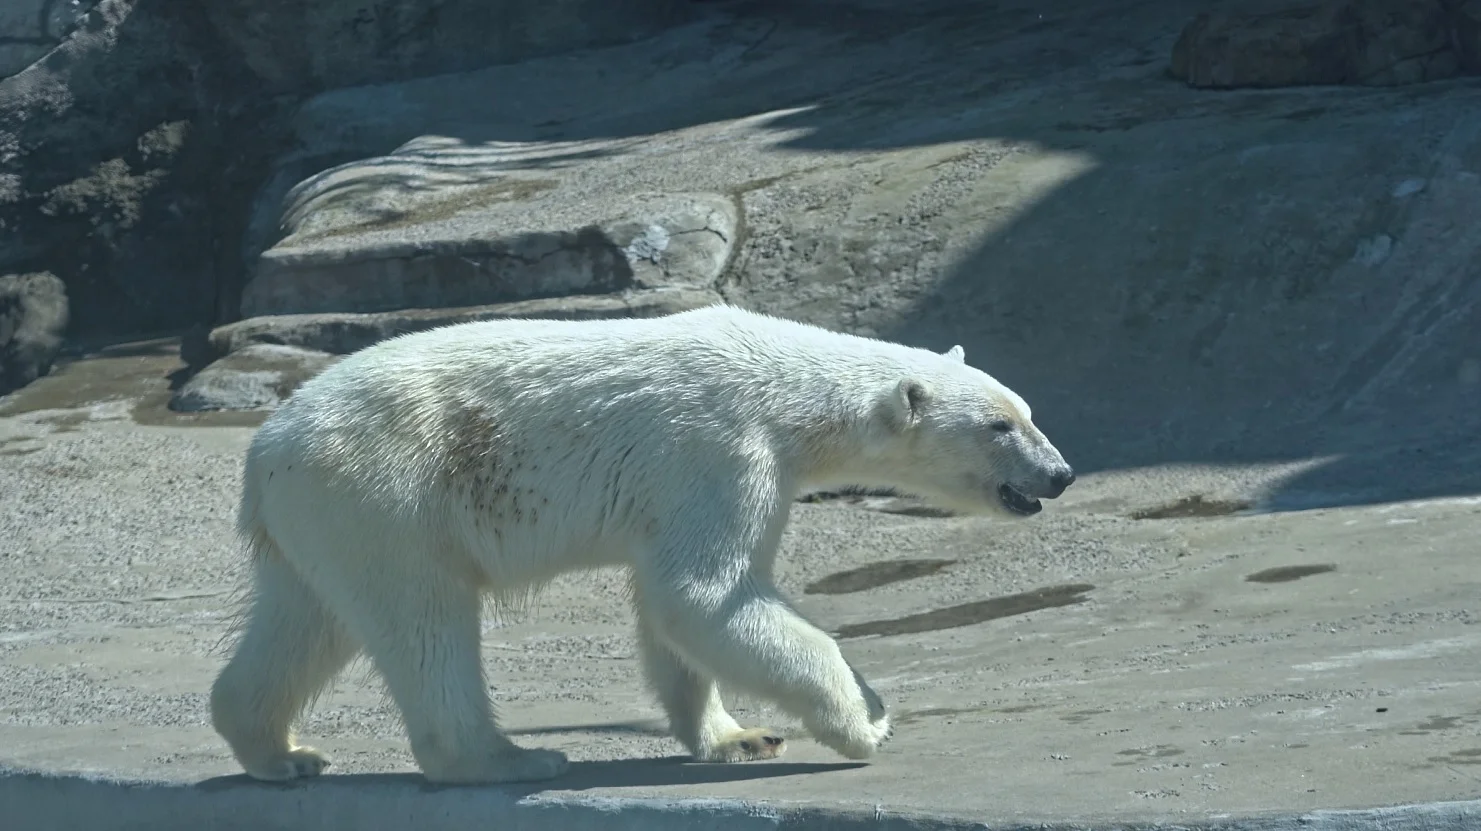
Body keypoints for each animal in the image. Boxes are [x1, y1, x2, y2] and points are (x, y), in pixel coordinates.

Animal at [208, 305, 1078, 782]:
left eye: (1027, 411)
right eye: (998, 425)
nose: (1060, 472)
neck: (783, 383)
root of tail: (263, 449)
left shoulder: (735, 472)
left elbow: (685, 609)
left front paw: (739, 734)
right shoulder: (720, 445)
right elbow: (704, 593)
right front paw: (864, 718)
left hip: (320, 513)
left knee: (308, 619)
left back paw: (281, 749)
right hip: (388, 488)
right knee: (424, 619)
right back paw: (506, 757)